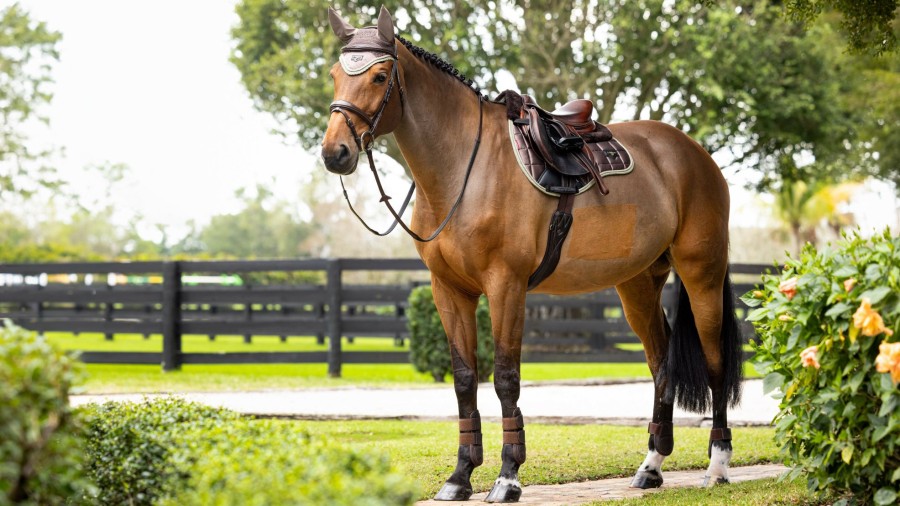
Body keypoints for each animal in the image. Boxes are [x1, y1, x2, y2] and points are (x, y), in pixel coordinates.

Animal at [320, 6, 740, 502]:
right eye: (334, 75)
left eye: (380, 75)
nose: (335, 152)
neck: (465, 167)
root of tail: (696, 155)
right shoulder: (449, 290)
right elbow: (464, 379)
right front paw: (460, 475)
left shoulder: (506, 286)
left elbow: (505, 378)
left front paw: (507, 477)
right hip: (637, 284)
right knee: (661, 366)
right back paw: (651, 466)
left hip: (701, 275)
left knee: (714, 364)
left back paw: (717, 466)